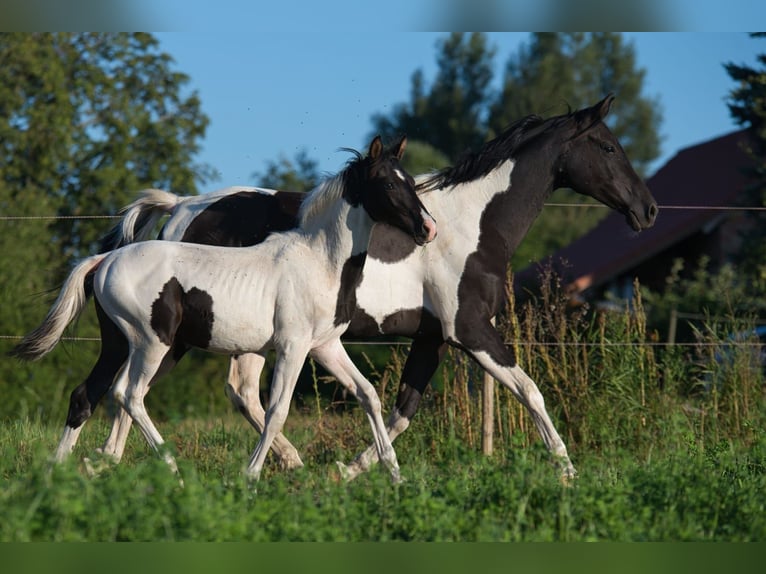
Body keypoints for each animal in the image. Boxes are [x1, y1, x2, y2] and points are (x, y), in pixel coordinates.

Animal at [11, 135, 437, 484]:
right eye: (387, 183)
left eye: (411, 182)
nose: (429, 229)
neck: (320, 262)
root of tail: (104, 261)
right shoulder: (293, 347)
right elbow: (276, 411)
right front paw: (251, 476)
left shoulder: (325, 346)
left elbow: (368, 395)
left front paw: (395, 474)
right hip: (152, 343)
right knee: (129, 395)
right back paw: (173, 470)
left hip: (120, 343)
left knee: (90, 395)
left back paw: (57, 474)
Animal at [80, 95, 657, 481]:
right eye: (607, 146)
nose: (647, 209)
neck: (470, 224)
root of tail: (182, 207)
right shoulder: (469, 331)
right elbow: (529, 390)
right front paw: (566, 470)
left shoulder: (431, 338)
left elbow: (400, 408)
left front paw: (353, 469)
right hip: (178, 338)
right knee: (129, 392)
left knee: (184, 392)